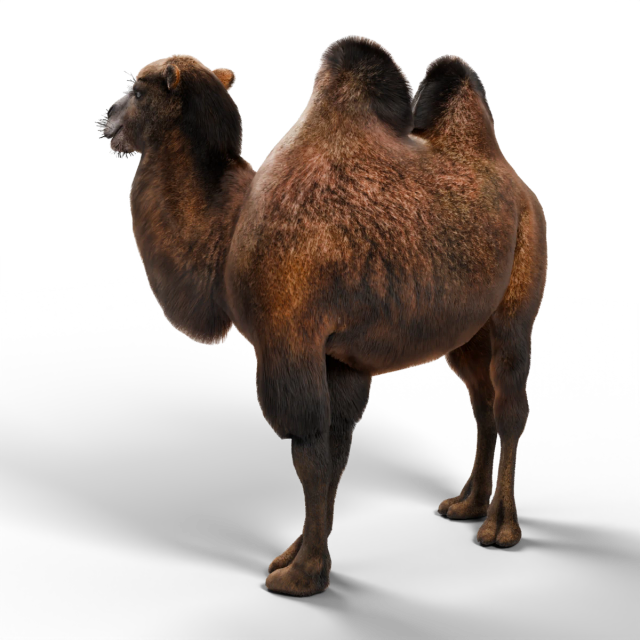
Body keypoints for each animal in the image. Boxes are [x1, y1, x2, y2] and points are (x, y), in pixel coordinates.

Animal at [98, 38, 548, 597]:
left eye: (138, 90)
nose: (105, 123)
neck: (229, 229)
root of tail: (519, 186)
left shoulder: (288, 341)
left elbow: (308, 456)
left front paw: (303, 573)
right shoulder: (339, 359)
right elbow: (334, 457)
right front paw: (298, 553)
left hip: (515, 306)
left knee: (510, 407)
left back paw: (500, 524)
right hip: (467, 331)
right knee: (480, 401)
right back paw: (466, 502)